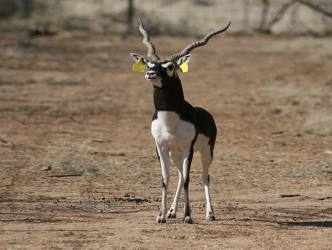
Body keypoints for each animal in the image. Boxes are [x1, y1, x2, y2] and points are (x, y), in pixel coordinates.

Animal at [130, 18, 231, 224]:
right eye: (149, 64)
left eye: (170, 66)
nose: (151, 74)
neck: (170, 123)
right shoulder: (161, 148)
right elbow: (166, 179)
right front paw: (161, 215)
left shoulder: (188, 149)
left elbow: (187, 180)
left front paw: (188, 216)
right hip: (174, 155)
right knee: (179, 174)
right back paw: (172, 211)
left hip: (206, 152)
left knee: (204, 176)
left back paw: (209, 214)